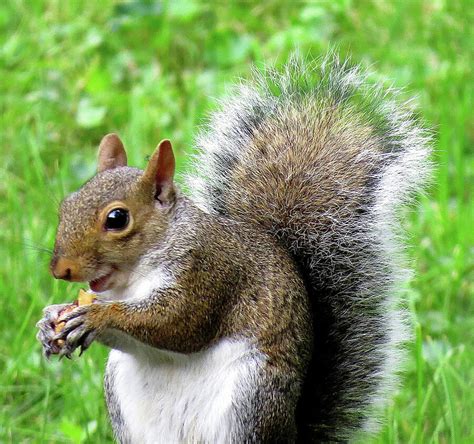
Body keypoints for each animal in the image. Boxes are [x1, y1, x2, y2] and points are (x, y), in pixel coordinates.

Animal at [36, 53, 430, 442]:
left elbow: (176, 322)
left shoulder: (207, 272)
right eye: (66, 205)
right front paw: (50, 320)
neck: (134, 277)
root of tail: (292, 435)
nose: (60, 270)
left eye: (117, 219)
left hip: (251, 400)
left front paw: (97, 316)